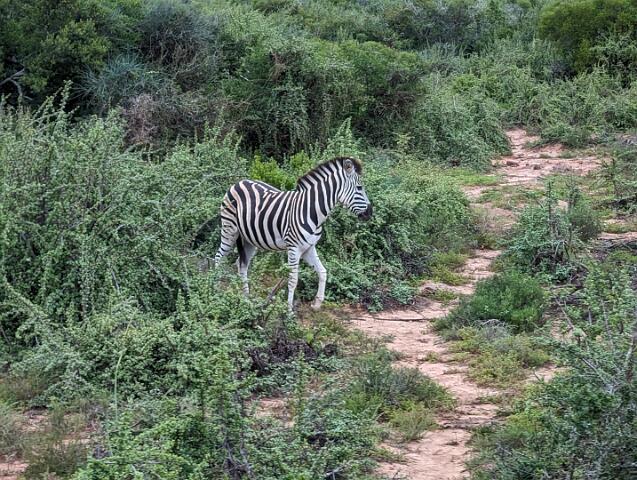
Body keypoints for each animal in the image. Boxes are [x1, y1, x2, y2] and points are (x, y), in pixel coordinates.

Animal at [214, 157, 372, 311]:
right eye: (359, 188)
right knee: (218, 258)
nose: (370, 213)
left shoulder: (309, 247)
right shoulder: (293, 248)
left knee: (241, 265)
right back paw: (215, 290)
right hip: (229, 230)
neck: (311, 210)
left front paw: (317, 303)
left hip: (249, 240)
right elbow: (293, 280)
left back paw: (246, 298)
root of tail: (238, 182)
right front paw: (289, 311)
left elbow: (322, 272)